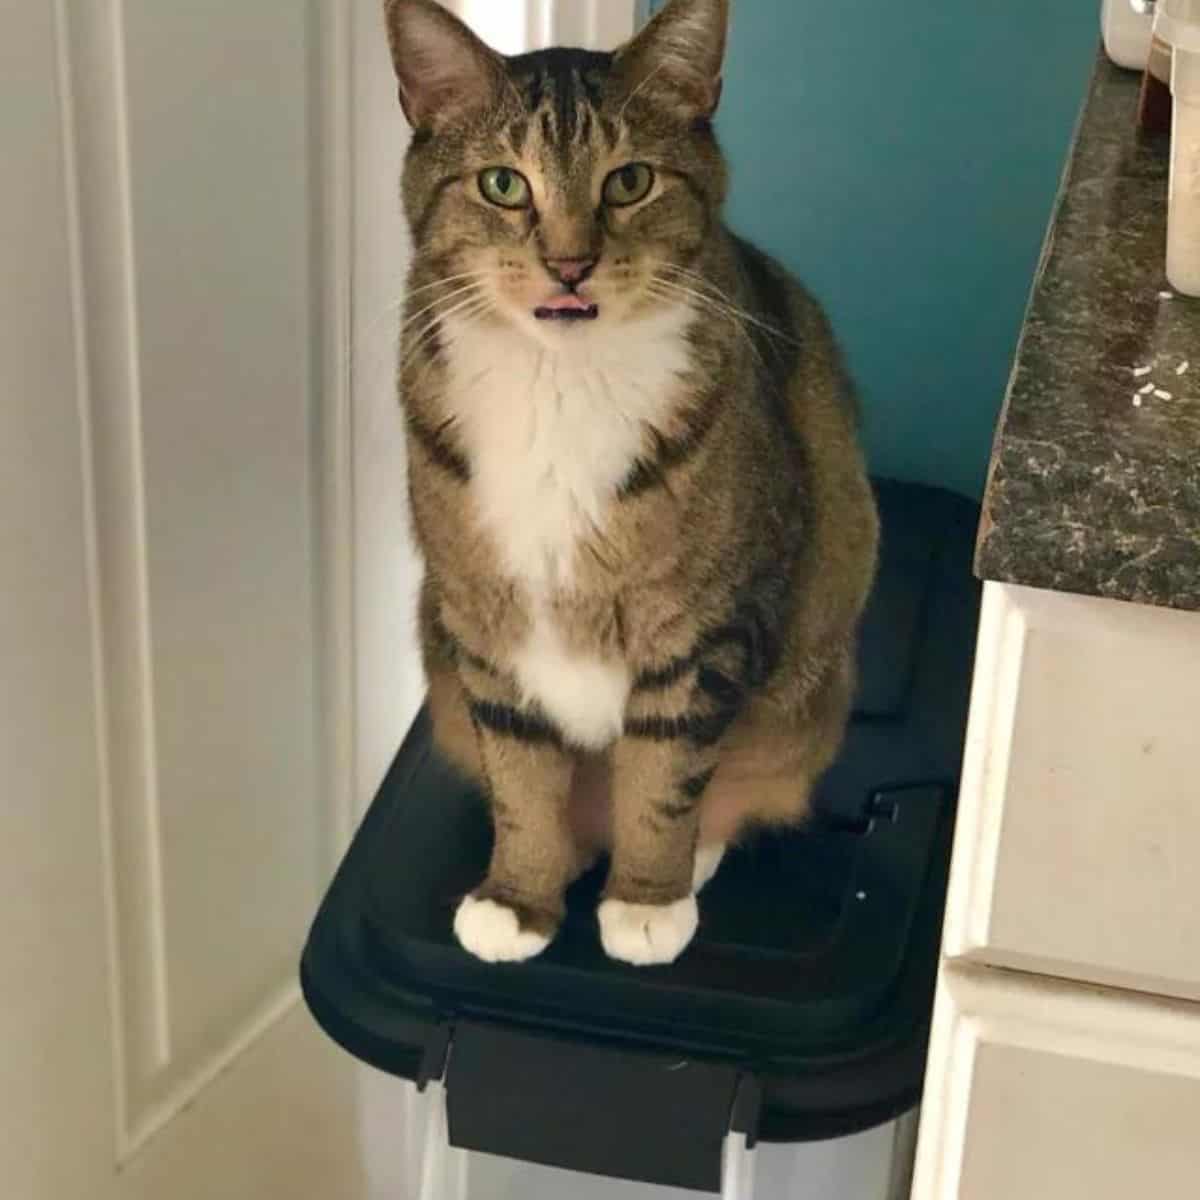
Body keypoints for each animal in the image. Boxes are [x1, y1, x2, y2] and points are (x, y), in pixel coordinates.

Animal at [384, 0, 883, 969]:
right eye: (503, 186)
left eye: (630, 182)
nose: (571, 264)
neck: (559, 383)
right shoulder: (481, 623)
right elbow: (521, 775)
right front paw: (519, 895)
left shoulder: (705, 628)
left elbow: (663, 772)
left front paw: (648, 901)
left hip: (804, 699)